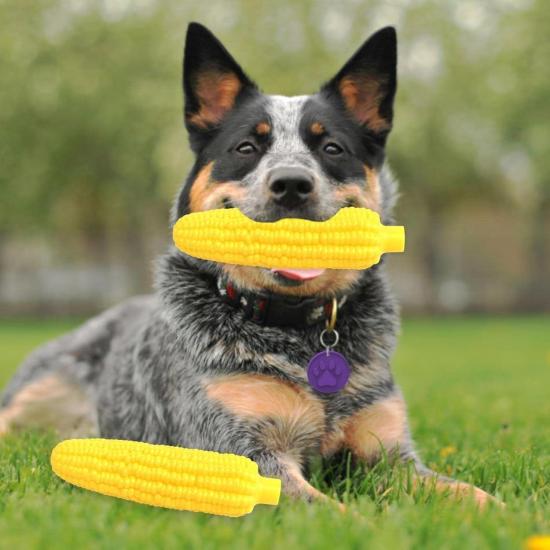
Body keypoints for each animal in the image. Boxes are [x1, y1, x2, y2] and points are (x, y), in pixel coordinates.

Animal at [0, 24, 498, 508]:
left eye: (332, 147)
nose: (292, 183)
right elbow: (331, 512)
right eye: (245, 147)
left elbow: (471, 496)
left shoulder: (389, 455)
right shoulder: (242, 455)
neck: (298, 332)